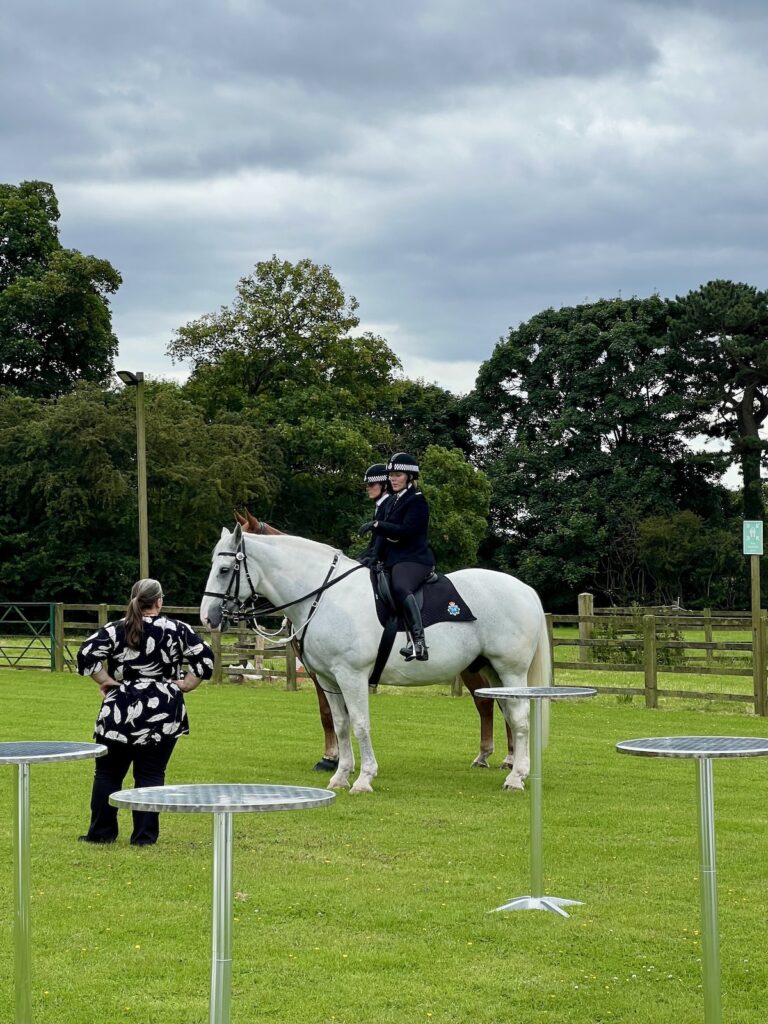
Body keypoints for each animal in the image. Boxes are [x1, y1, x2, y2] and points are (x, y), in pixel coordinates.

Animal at [201, 524, 548, 794]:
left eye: (224, 570)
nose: (208, 617)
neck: (325, 595)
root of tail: (524, 589)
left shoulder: (351, 675)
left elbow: (360, 724)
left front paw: (364, 779)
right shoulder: (329, 679)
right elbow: (340, 724)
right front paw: (340, 775)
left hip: (510, 671)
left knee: (519, 719)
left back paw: (515, 777)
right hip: (492, 672)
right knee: (506, 715)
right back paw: (512, 766)